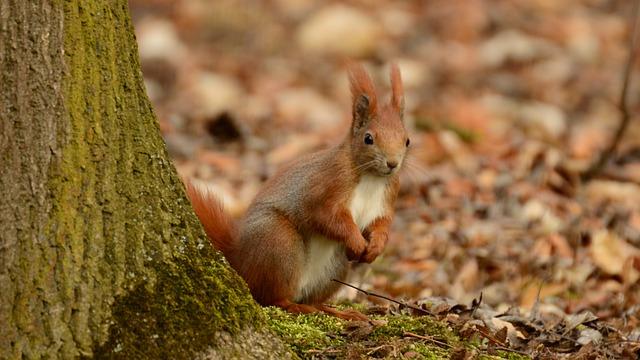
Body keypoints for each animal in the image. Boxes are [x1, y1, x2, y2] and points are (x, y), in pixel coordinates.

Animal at [185, 62, 408, 320]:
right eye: (368, 138)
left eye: (407, 140)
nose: (393, 164)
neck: (372, 178)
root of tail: (239, 260)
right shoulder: (325, 187)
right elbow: (327, 217)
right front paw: (356, 241)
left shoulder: (387, 198)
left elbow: (381, 224)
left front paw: (376, 247)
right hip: (279, 242)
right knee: (272, 298)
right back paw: (296, 306)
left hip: (334, 267)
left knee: (315, 300)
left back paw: (339, 312)